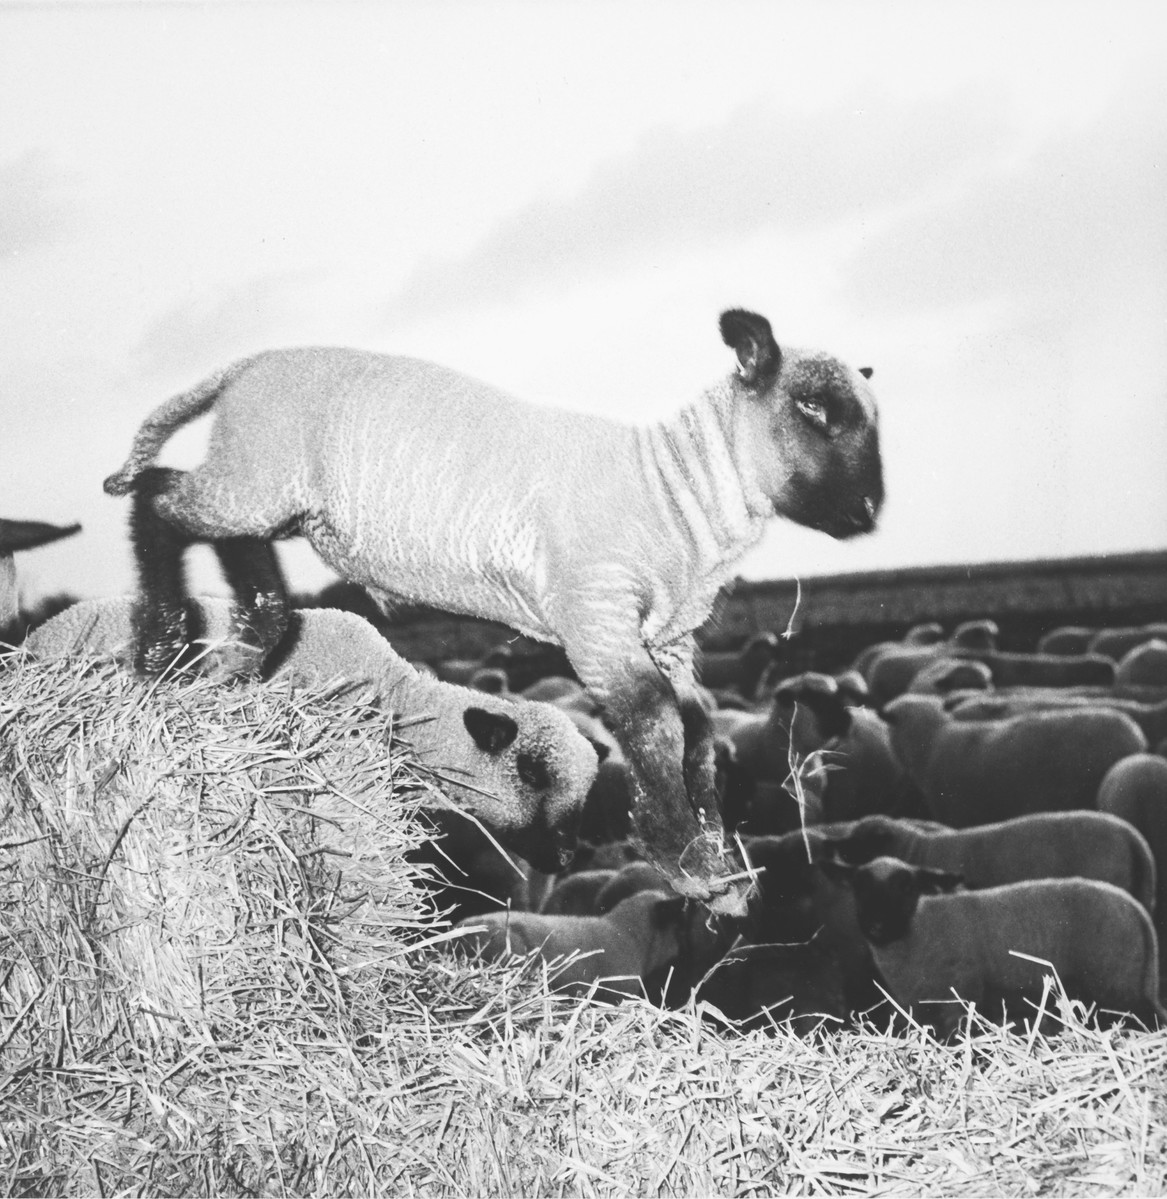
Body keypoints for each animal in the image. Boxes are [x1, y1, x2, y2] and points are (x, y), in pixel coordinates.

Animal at [102, 309, 882, 906]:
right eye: (813, 409)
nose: (870, 511)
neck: (677, 489)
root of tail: (245, 366)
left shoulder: (671, 638)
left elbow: (696, 734)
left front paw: (717, 864)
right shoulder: (598, 618)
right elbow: (655, 725)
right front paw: (689, 865)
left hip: (268, 491)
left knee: (233, 544)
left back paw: (257, 640)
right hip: (255, 475)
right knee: (159, 495)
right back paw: (163, 639)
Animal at [820, 858, 1165, 1035]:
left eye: (907, 887)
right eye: (858, 888)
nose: (875, 927)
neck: (917, 929)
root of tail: (1138, 911)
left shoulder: (961, 997)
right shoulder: (918, 1007)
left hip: (1115, 982)